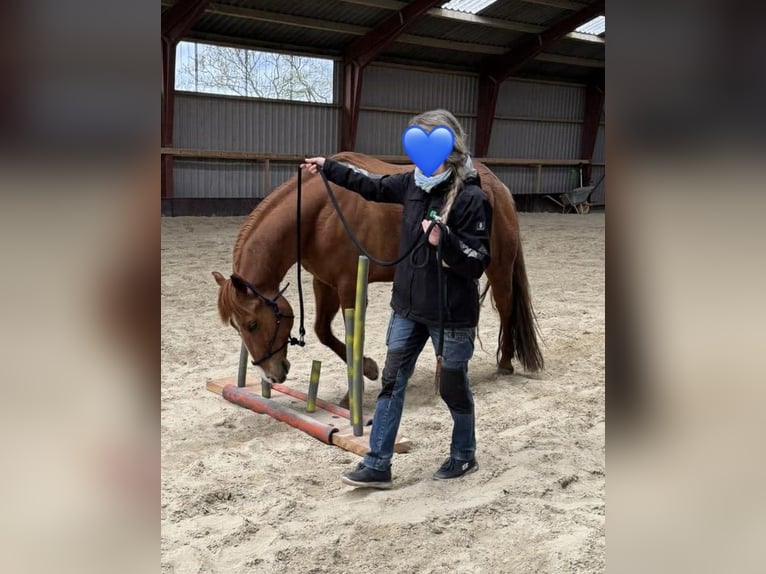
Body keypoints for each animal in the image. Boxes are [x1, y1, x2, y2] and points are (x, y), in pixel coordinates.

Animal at [212, 152, 543, 395]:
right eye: (238, 328)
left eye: (252, 324)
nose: (271, 376)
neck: (319, 214)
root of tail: (498, 187)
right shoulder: (325, 283)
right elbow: (322, 331)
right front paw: (371, 369)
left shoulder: (349, 285)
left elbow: (351, 336)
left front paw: (355, 390)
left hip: (498, 268)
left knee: (506, 310)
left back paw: (504, 363)